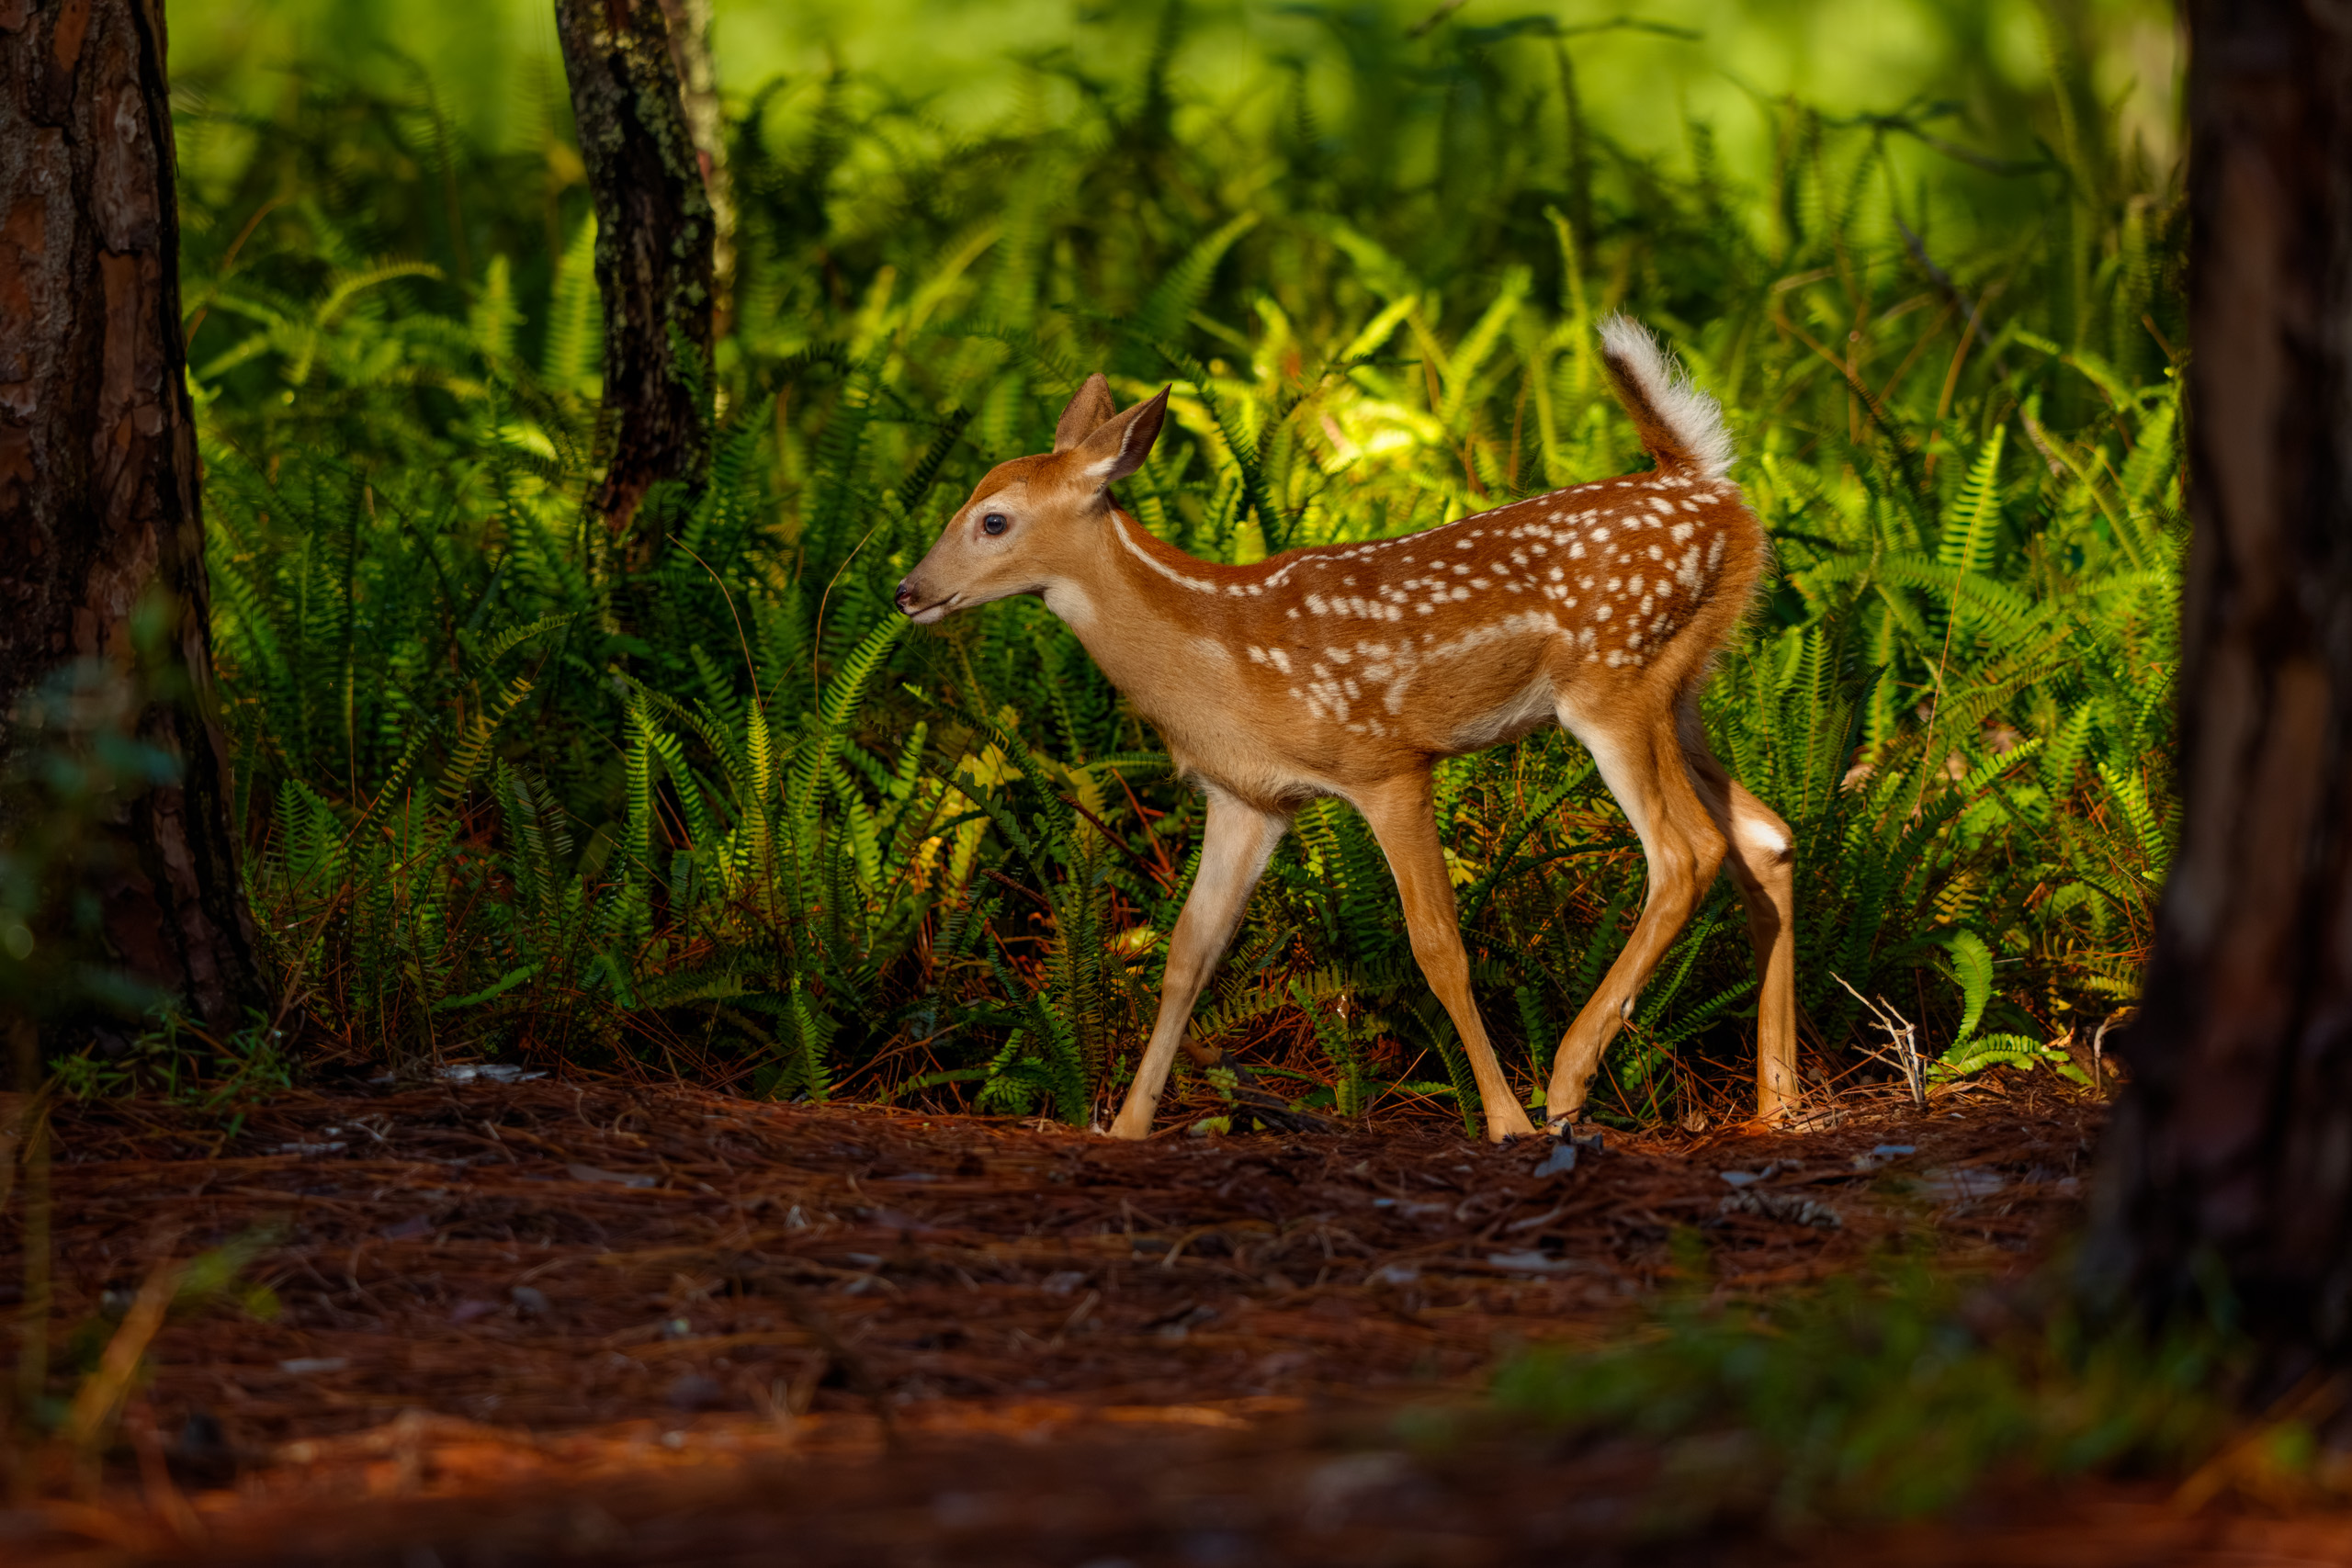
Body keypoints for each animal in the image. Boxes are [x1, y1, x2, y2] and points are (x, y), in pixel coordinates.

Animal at [895, 316, 1798, 1143]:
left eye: (994, 520)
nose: (908, 591)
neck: (1220, 649)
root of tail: (1707, 482)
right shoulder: (1249, 798)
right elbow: (1188, 955)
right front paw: (1126, 1128)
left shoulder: (1386, 761)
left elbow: (1437, 945)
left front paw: (1504, 1122)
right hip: (1682, 687)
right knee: (1765, 837)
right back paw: (1779, 1105)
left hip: (1615, 683)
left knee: (1685, 852)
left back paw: (1567, 1085)